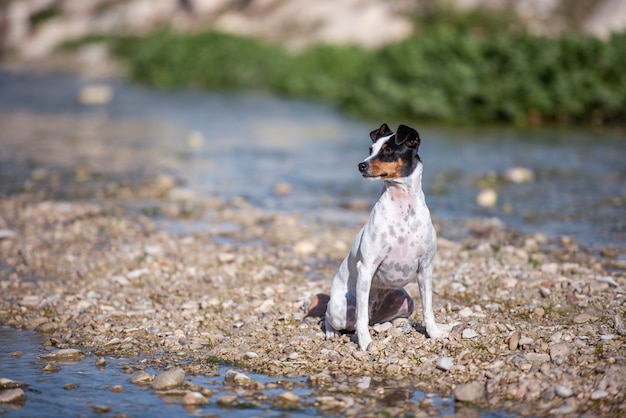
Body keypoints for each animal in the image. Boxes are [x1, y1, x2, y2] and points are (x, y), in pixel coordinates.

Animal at [322, 123, 444, 350]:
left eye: (387, 151)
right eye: (370, 149)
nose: (361, 165)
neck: (404, 208)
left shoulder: (425, 269)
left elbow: (428, 309)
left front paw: (434, 334)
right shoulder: (366, 267)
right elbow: (361, 319)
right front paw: (365, 343)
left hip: (406, 302)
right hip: (339, 311)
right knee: (333, 316)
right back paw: (332, 333)